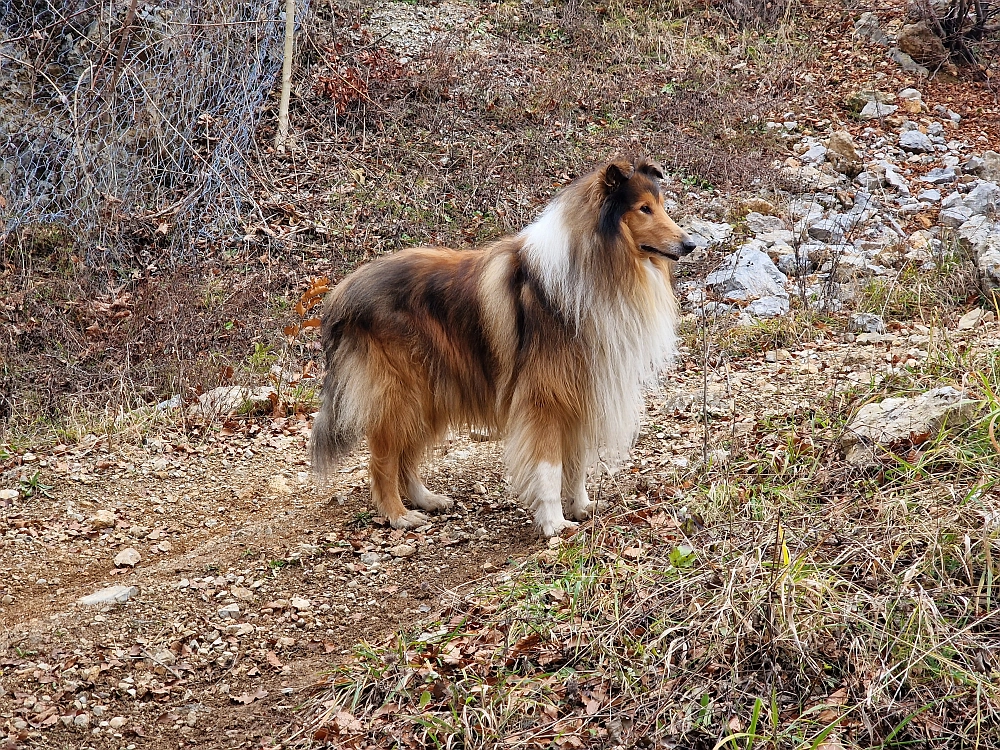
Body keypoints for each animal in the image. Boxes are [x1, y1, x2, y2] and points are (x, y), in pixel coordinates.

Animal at [312, 159, 696, 536]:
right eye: (643, 208)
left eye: (662, 205)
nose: (690, 244)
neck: (596, 265)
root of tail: (342, 291)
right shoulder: (545, 397)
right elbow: (549, 465)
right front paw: (554, 522)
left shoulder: (581, 394)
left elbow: (576, 462)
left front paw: (581, 506)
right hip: (400, 394)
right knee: (382, 461)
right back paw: (398, 515)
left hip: (431, 391)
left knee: (406, 455)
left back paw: (426, 499)